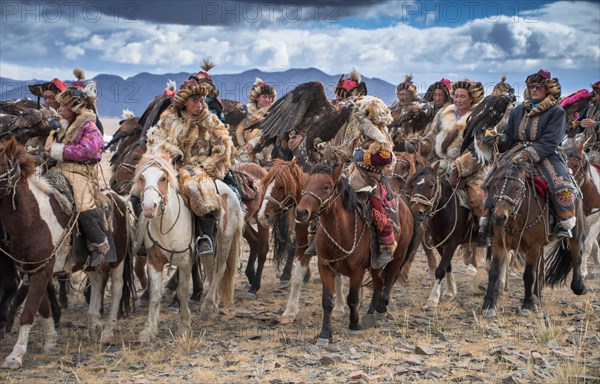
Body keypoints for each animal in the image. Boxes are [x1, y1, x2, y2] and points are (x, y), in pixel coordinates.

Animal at [0, 138, 134, 368]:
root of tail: (119, 200)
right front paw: (51, 342)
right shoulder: (34, 270)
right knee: (97, 282)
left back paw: (107, 332)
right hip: (90, 263)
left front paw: (15, 355)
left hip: (118, 260)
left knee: (116, 290)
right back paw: (93, 324)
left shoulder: (42, 271)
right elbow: (43, 308)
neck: (32, 218)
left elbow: (29, 312)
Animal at [294, 164, 418, 344]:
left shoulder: (357, 271)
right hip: (375, 264)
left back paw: (380, 309)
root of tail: (404, 204)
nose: (301, 212)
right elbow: (327, 301)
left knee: (390, 279)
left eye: (326, 187)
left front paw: (353, 324)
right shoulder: (325, 267)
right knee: (379, 283)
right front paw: (325, 333)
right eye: (305, 185)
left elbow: (352, 299)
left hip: (399, 253)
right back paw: (370, 313)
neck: (340, 232)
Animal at [480, 160, 588, 316]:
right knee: (540, 267)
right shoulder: (498, 244)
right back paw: (537, 297)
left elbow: (529, 275)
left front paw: (526, 305)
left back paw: (578, 287)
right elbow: (494, 273)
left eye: (517, 188)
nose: (499, 217)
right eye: (495, 186)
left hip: (575, 229)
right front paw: (489, 305)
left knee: (576, 254)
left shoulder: (533, 247)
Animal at [564, 140, 600, 278]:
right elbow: (592, 244)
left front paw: (583, 270)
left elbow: (588, 244)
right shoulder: (584, 223)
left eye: (575, 165)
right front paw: (595, 268)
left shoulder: (598, 222)